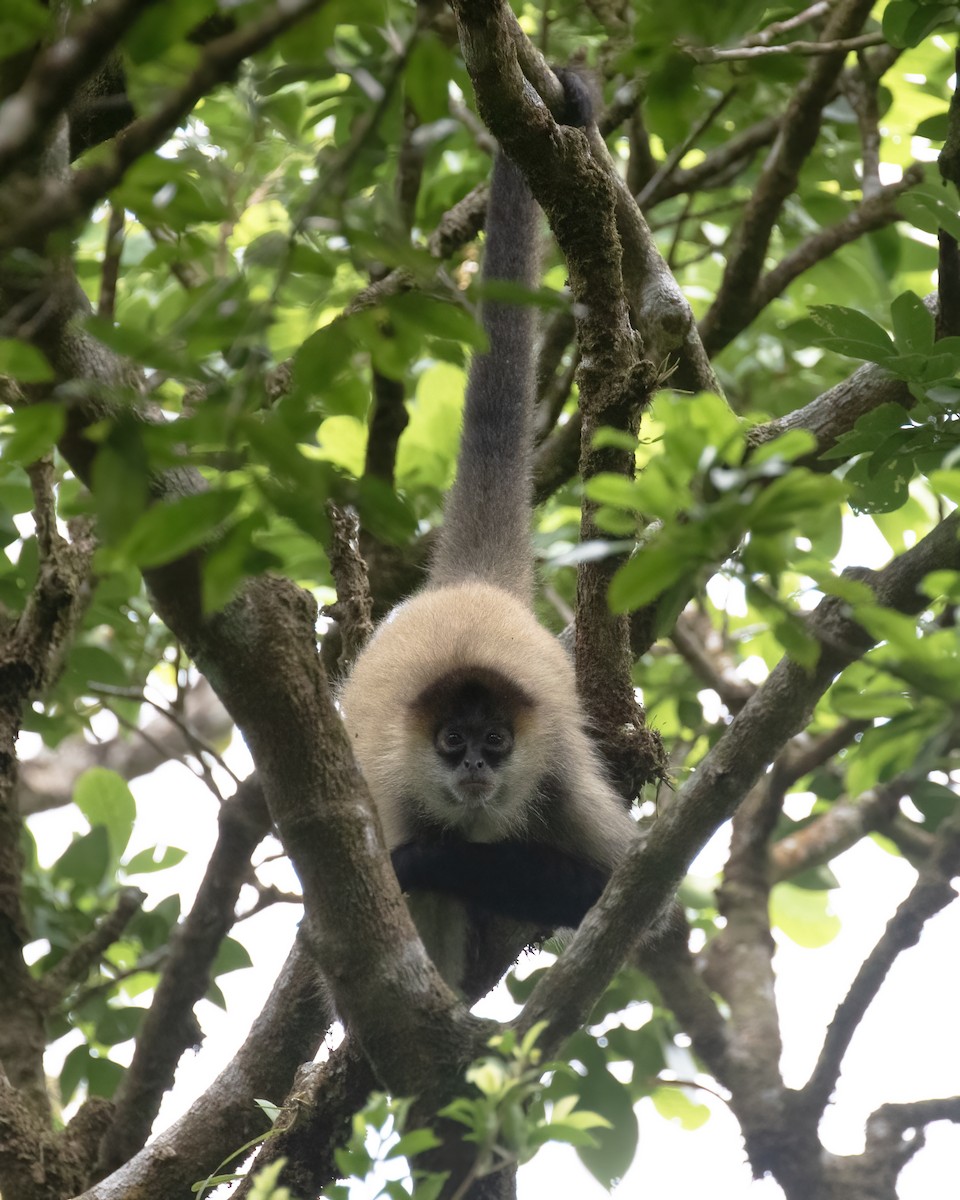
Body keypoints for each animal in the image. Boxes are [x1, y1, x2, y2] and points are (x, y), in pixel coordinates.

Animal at [339, 74, 637, 987]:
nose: (473, 767)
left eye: (496, 745)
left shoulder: (555, 770)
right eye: (452, 744)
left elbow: (626, 893)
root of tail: (465, 585)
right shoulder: (394, 787)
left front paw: (434, 862)